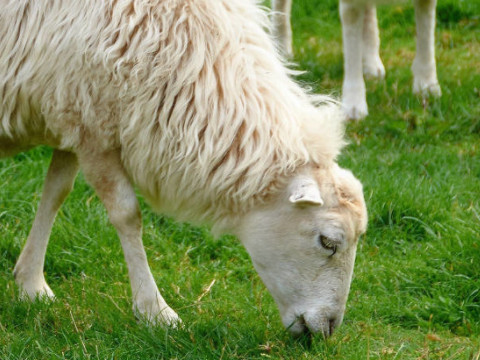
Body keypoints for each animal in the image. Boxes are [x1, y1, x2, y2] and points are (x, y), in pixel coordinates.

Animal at [0, 0, 368, 338]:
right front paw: (155, 311)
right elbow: (127, 214)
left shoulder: (73, 115)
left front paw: (30, 283)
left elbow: (56, 193)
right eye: (328, 242)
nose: (329, 328)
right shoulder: (93, 127)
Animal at [272, 0, 440, 121]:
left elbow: (425, 36)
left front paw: (427, 85)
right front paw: (354, 105)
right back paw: (281, 48)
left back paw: (371, 63)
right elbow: (352, 50)